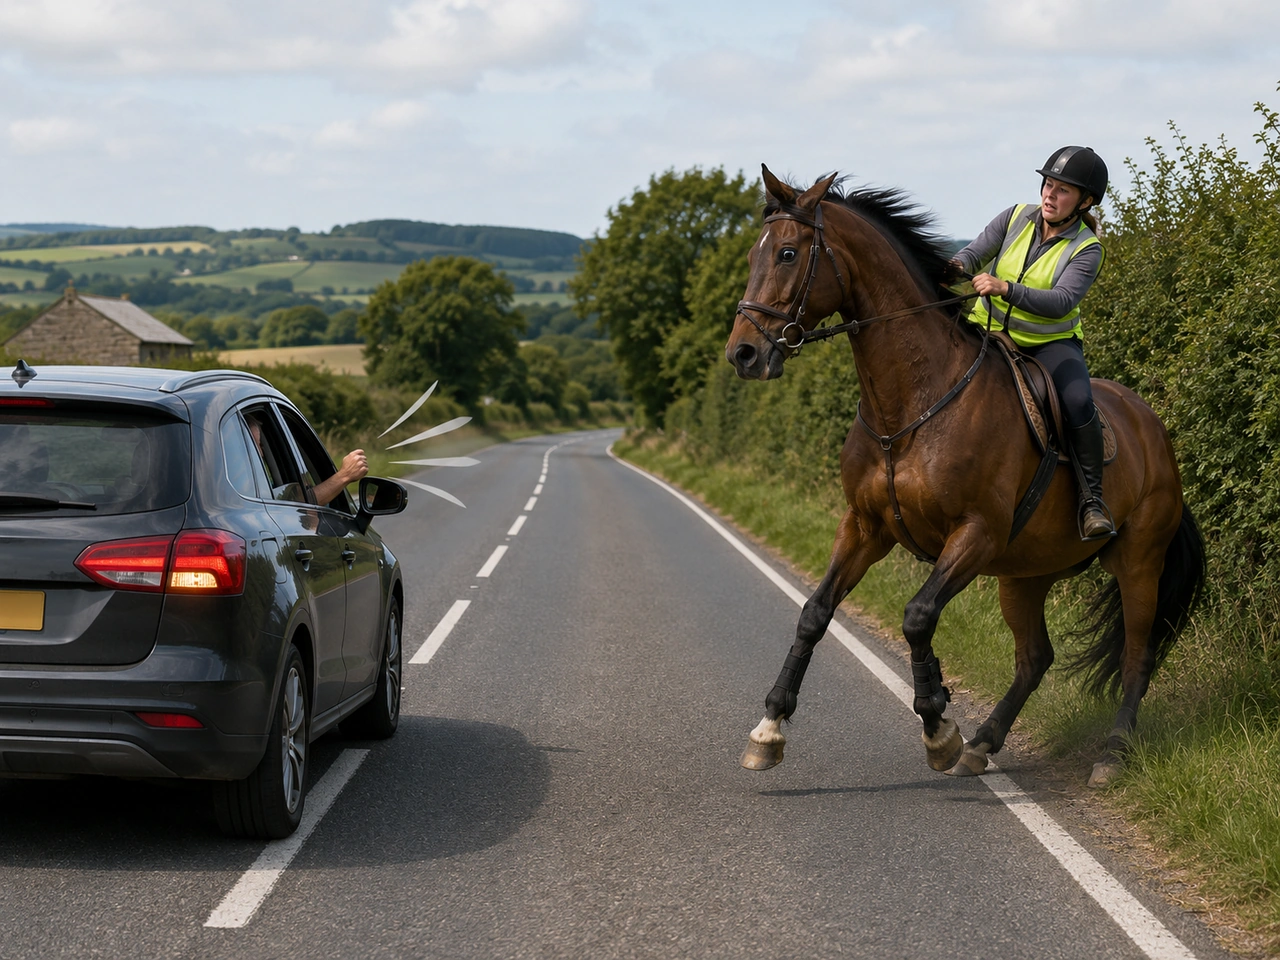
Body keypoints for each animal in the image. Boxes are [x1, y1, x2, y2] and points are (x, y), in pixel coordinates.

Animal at [725, 166, 1205, 786]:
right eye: (755, 254)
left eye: (787, 253)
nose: (743, 354)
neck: (909, 406)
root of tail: (1157, 433)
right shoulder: (864, 527)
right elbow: (815, 613)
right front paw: (769, 729)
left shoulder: (976, 534)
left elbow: (917, 616)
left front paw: (937, 724)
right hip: (1026, 573)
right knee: (1035, 658)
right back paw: (983, 742)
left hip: (1137, 561)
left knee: (1137, 655)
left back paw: (1111, 755)